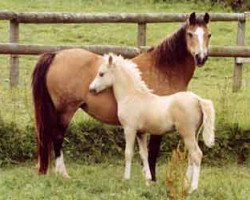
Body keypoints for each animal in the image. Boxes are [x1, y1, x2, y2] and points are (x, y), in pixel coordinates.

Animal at [31, 11, 211, 179]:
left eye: (208, 34)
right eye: (190, 34)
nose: (201, 58)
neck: (163, 69)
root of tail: (55, 55)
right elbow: (153, 151)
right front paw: (152, 178)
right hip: (66, 111)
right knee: (57, 137)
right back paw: (63, 173)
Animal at [88, 54, 215, 192]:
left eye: (101, 73)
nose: (91, 89)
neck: (132, 96)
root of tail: (198, 100)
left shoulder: (129, 129)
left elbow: (128, 153)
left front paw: (126, 179)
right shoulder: (141, 133)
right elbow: (144, 154)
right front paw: (148, 180)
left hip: (187, 133)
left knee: (196, 155)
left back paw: (193, 188)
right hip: (194, 134)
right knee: (191, 157)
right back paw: (185, 184)